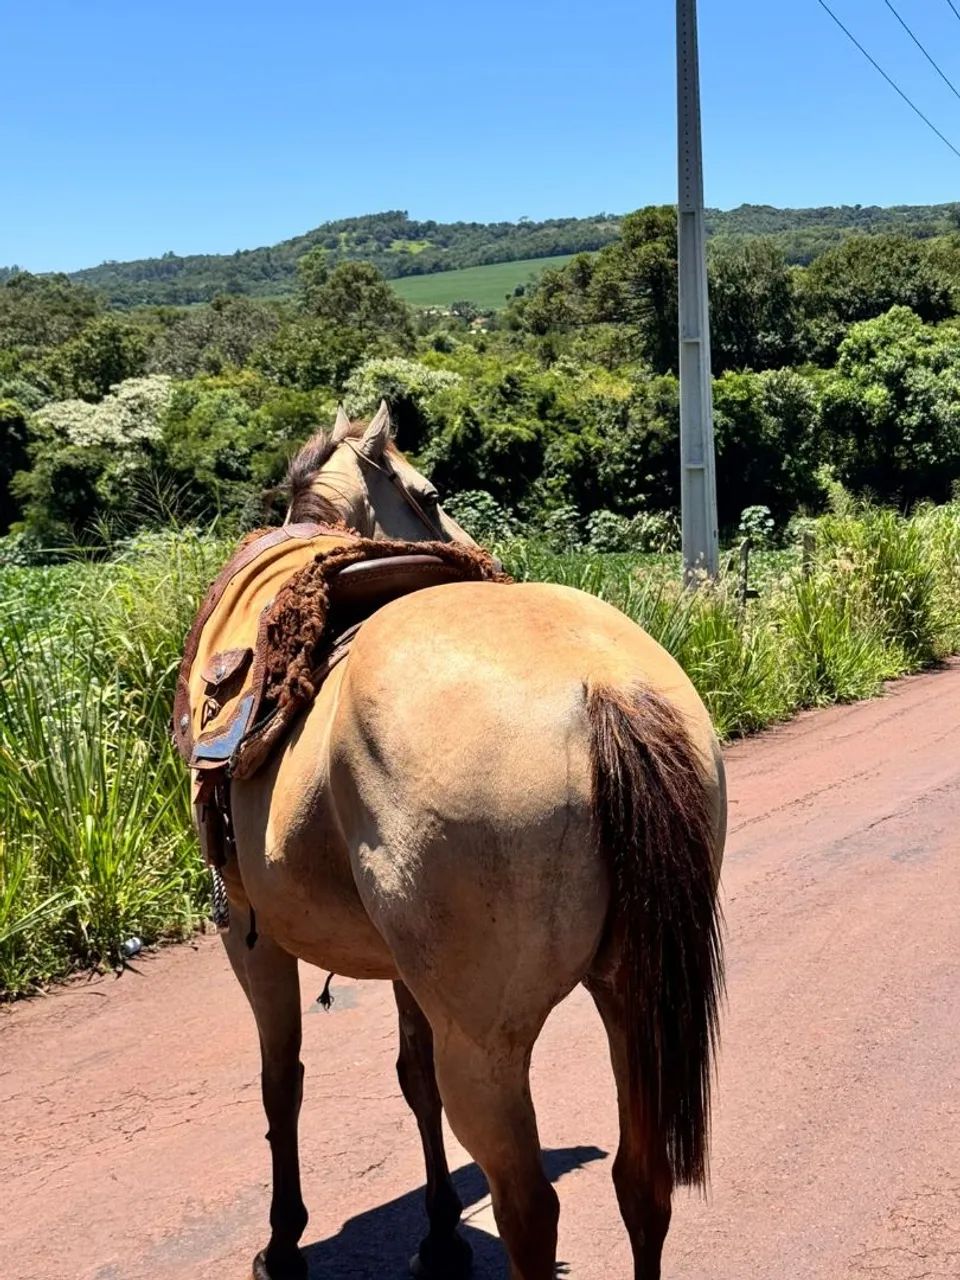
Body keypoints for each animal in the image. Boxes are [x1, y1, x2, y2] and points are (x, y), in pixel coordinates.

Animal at [212, 403, 726, 1280]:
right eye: (433, 491)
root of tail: (604, 690)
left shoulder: (248, 932)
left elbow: (282, 1081)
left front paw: (283, 1241)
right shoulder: (399, 963)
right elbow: (408, 1074)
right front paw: (441, 1229)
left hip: (485, 1046)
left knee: (530, 1209)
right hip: (632, 988)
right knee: (643, 1179)